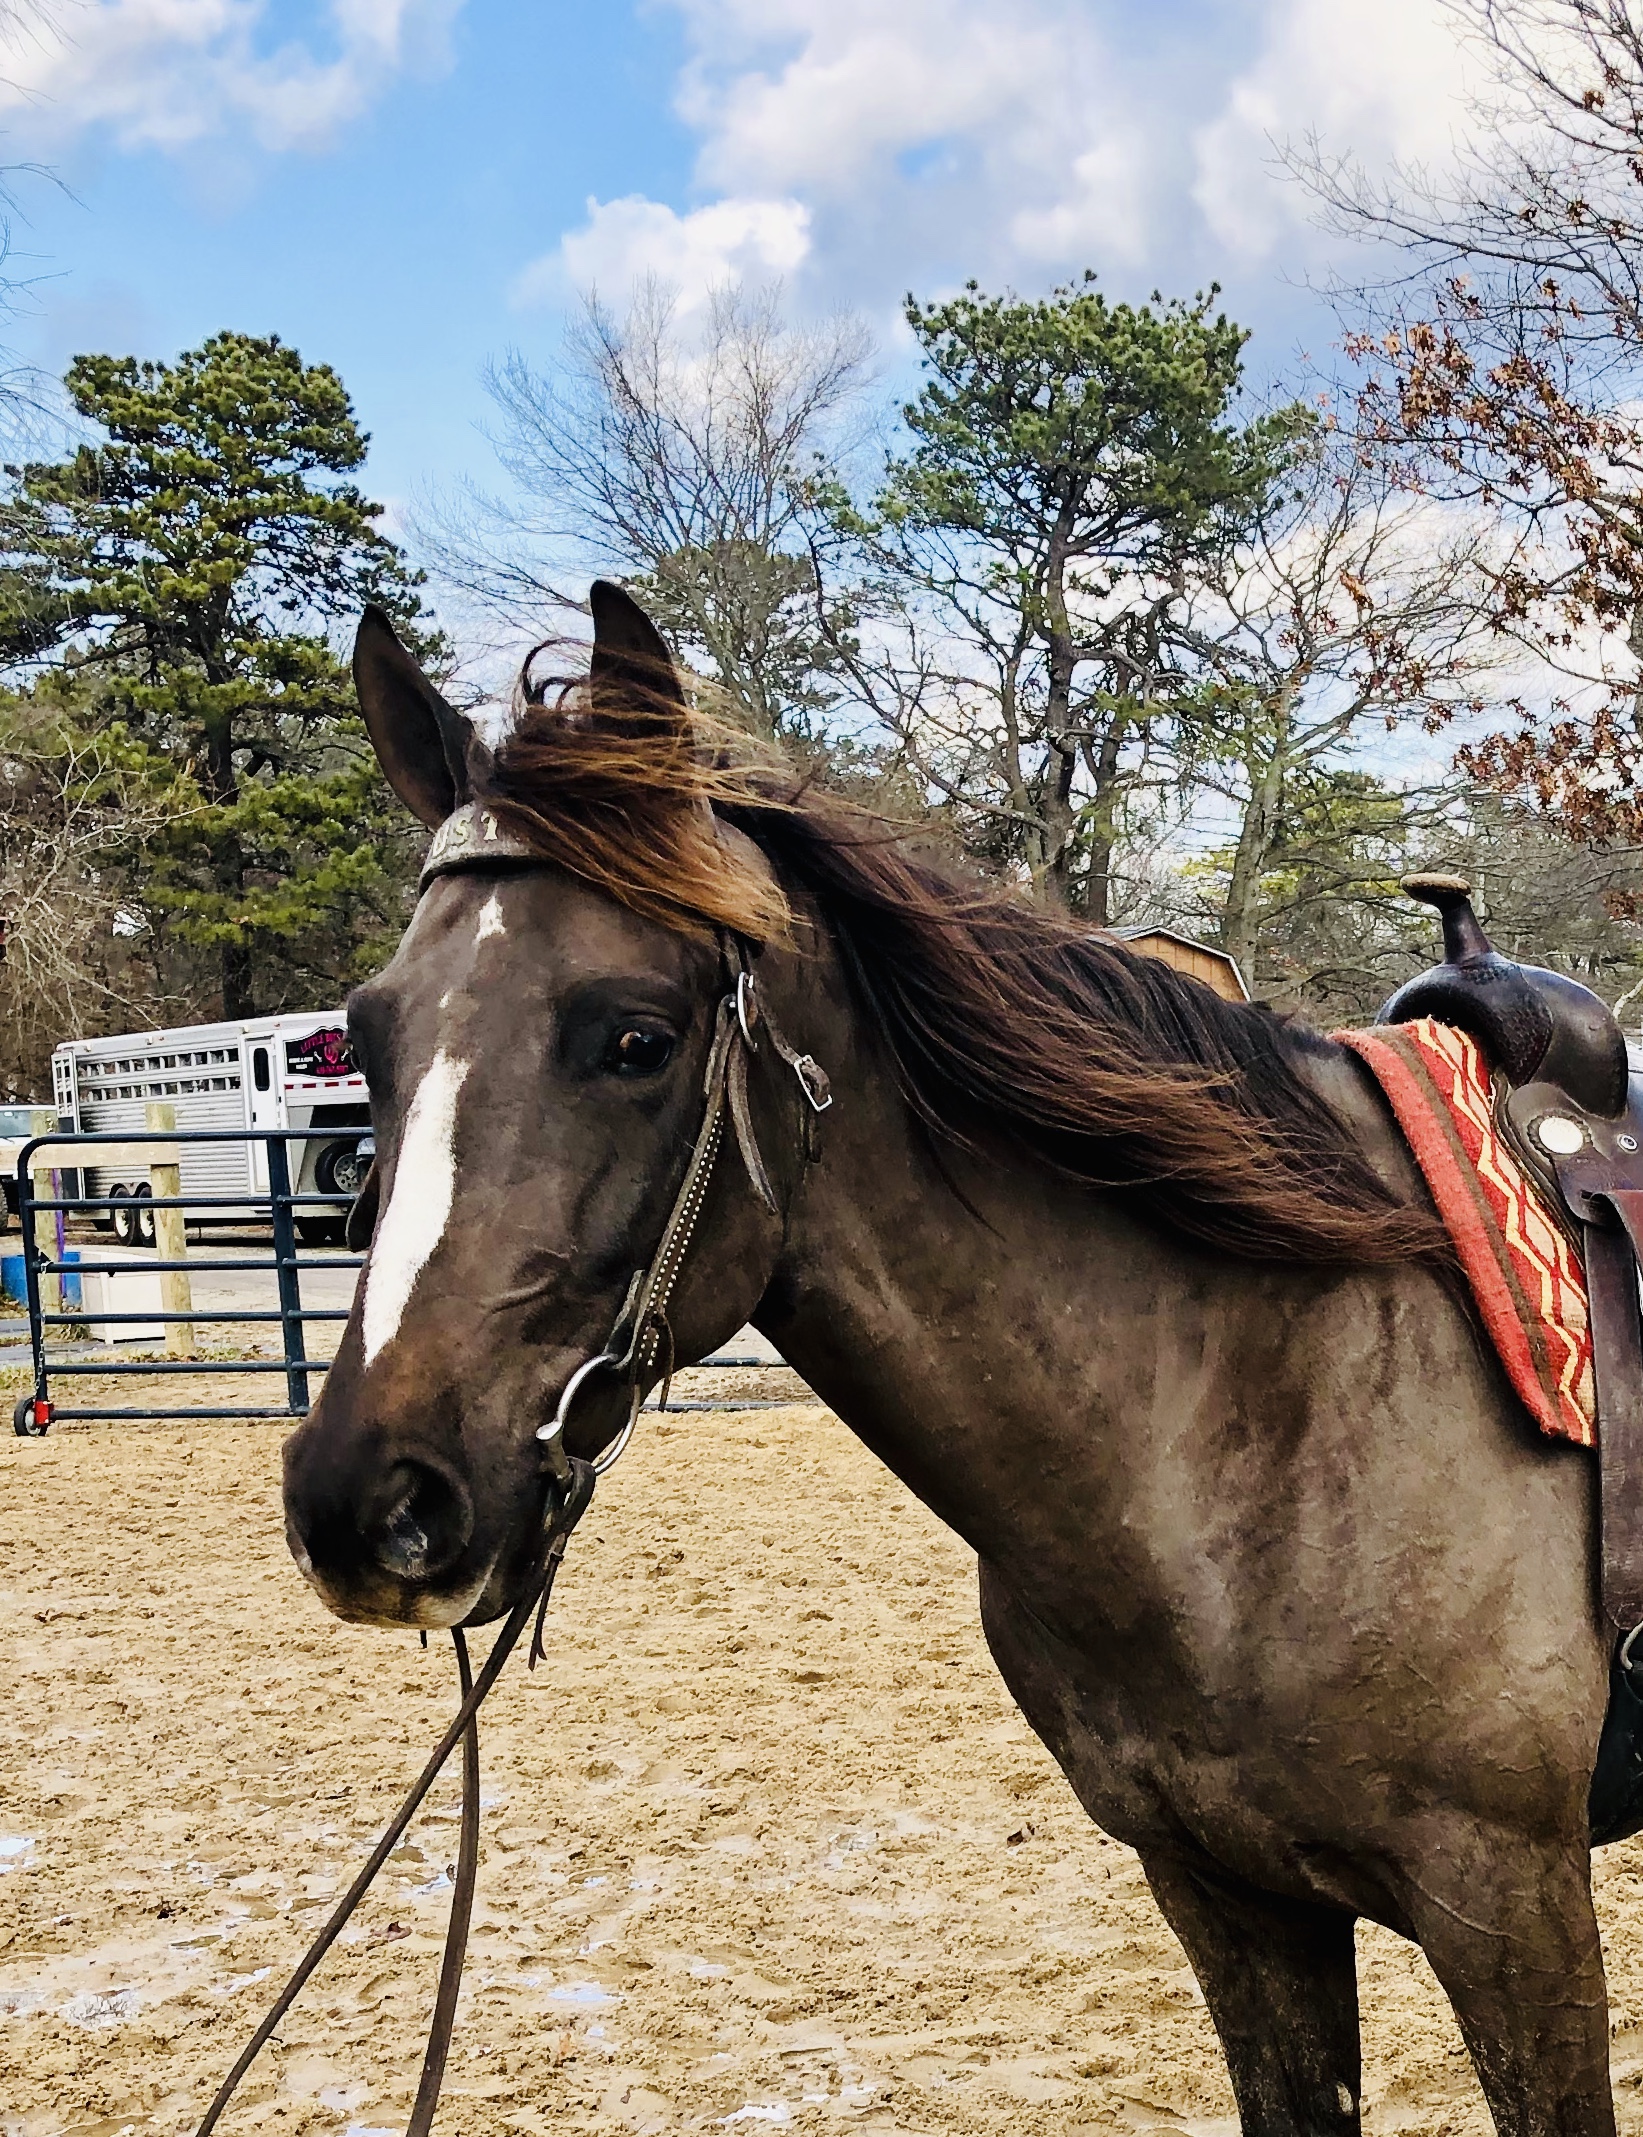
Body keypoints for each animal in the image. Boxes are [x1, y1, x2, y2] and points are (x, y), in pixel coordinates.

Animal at [282, 581, 1614, 2136]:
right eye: (368, 1036)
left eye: (634, 1037)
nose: (366, 1501)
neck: (1271, 1414)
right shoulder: (1230, 1899)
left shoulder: (1508, 1907)